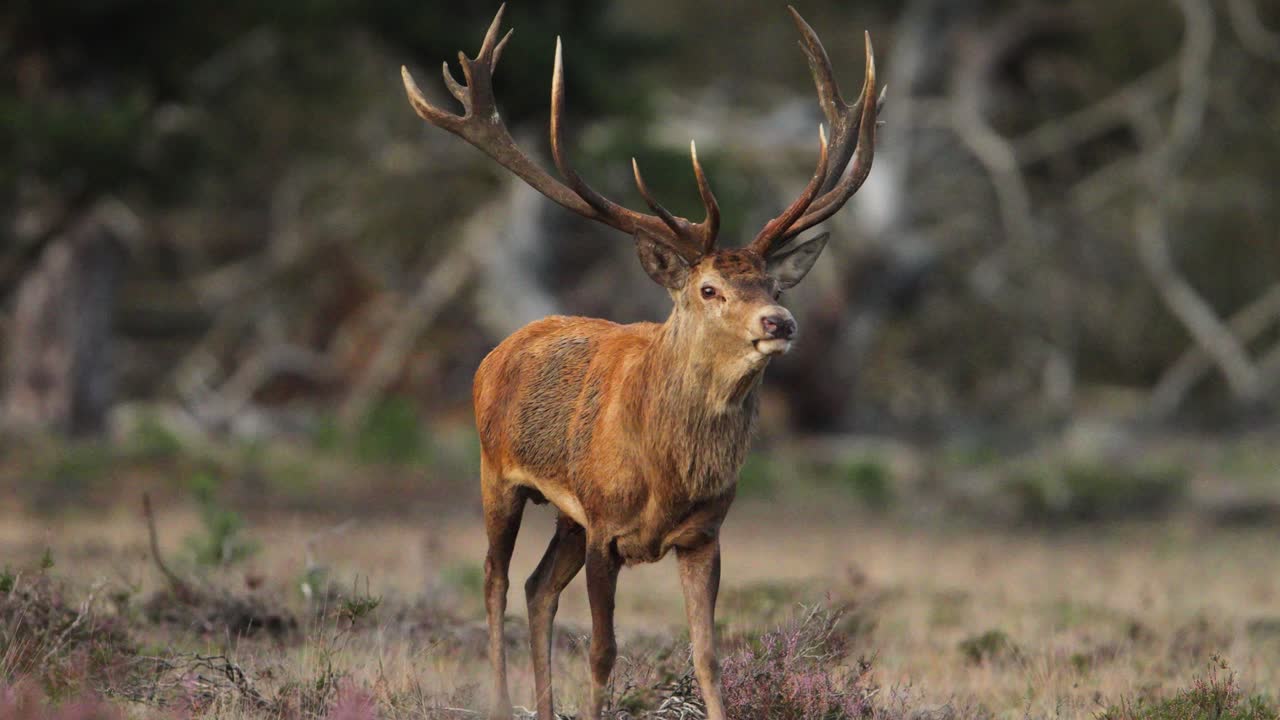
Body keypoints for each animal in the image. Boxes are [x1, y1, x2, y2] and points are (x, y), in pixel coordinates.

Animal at [400, 5, 880, 719]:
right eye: (709, 289)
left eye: (774, 283)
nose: (780, 322)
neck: (667, 476)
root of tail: (497, 351)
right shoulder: (606, 527)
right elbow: (603, 654)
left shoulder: (703, 534)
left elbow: (707, 657)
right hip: (497, 472)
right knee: (494, 579)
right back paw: (503, 698)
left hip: (566, 517)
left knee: (537, 588)